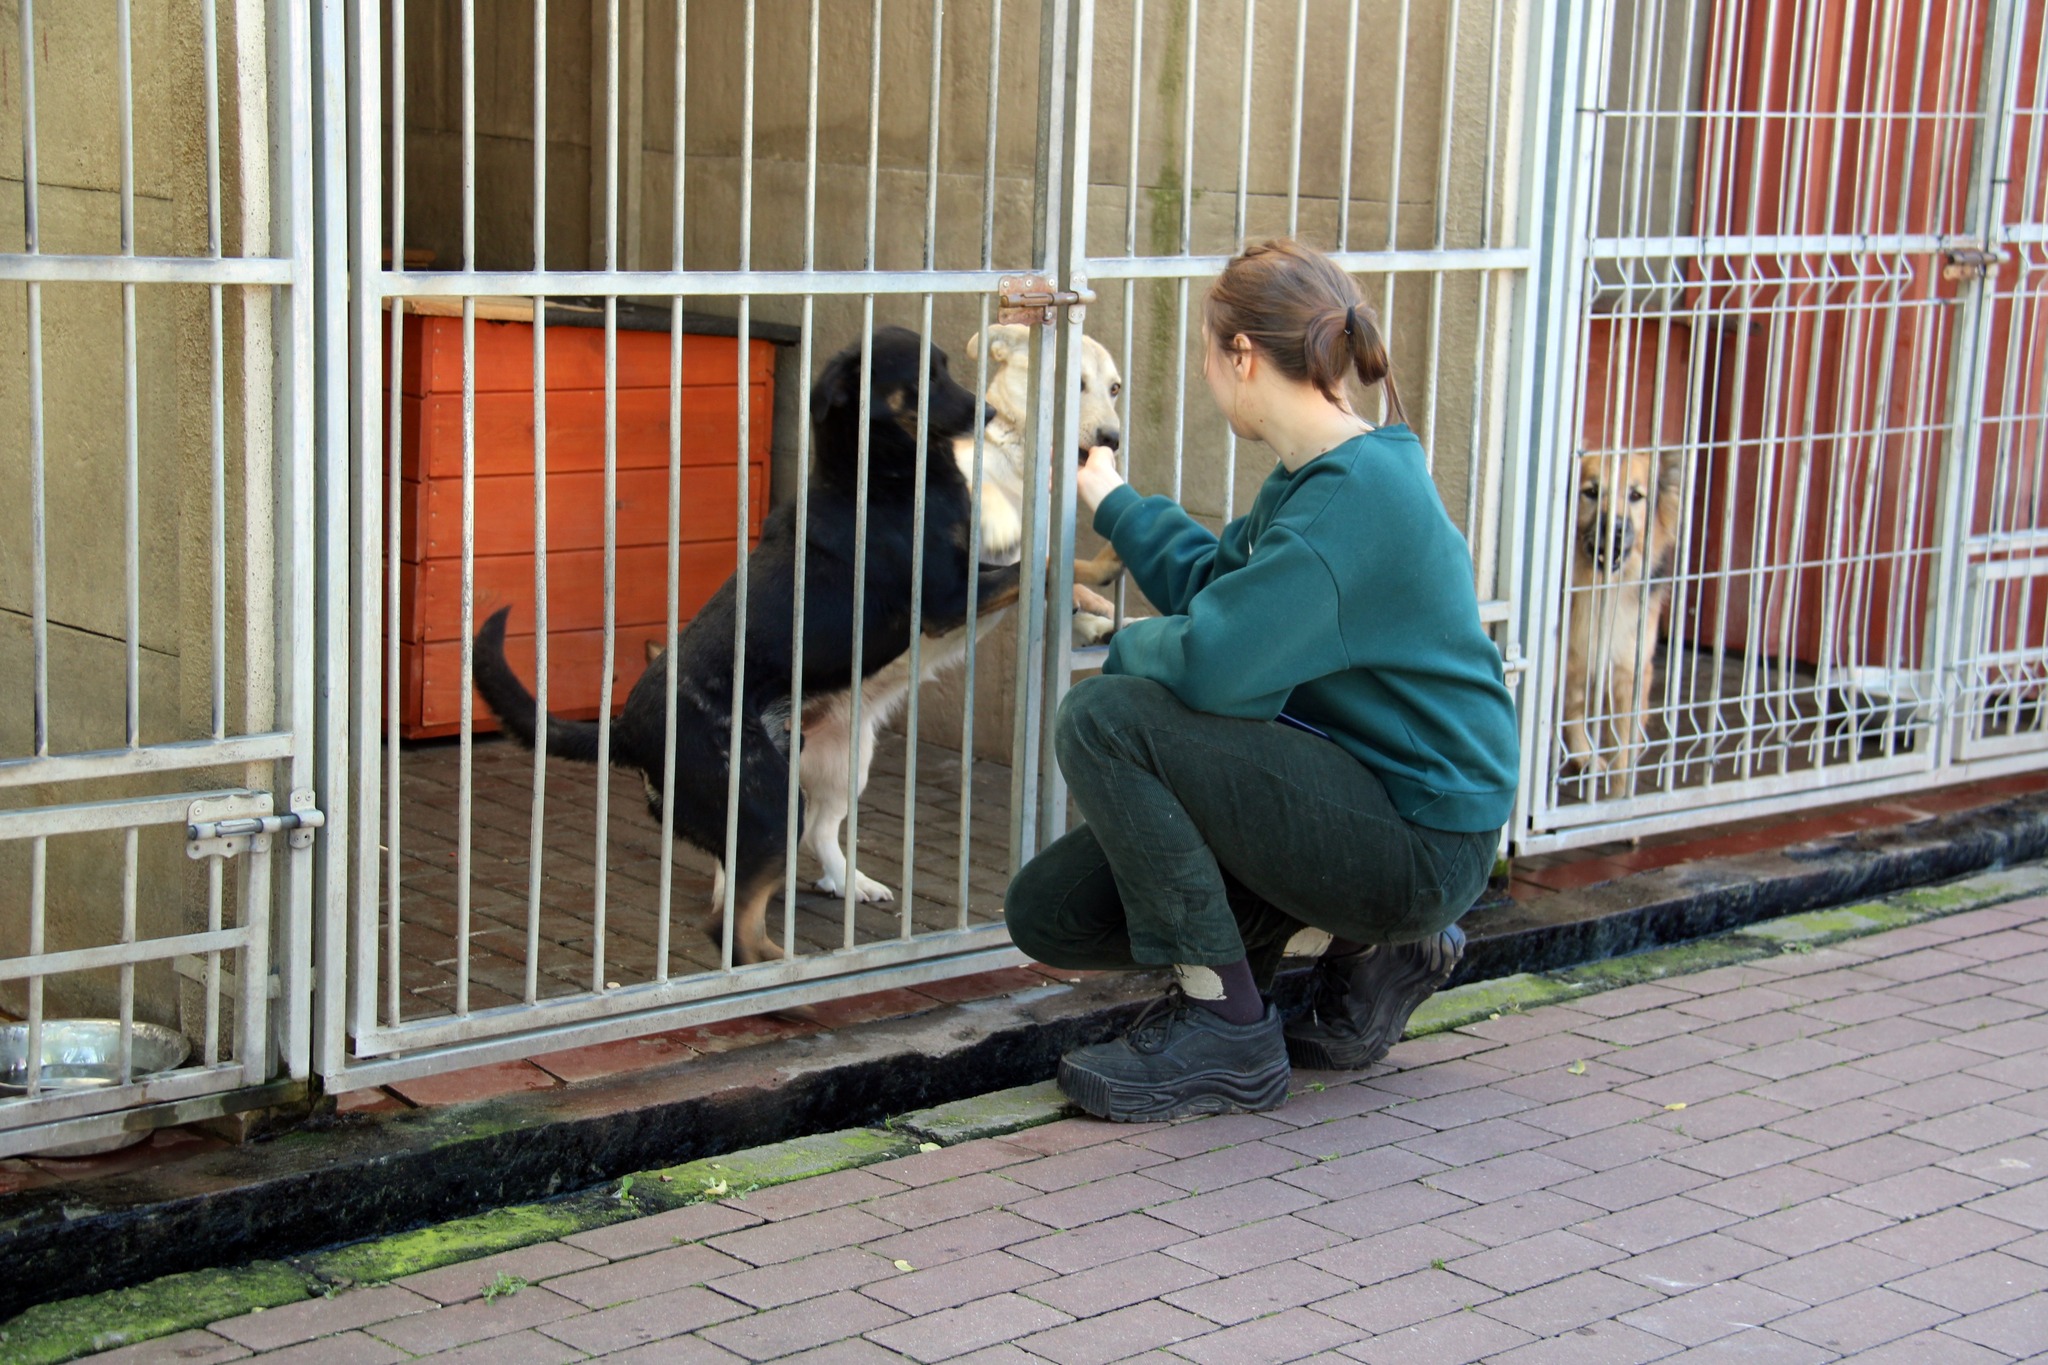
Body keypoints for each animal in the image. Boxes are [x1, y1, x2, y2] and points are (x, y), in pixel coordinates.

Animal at [473, 327, 1019, 964]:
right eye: (923, 378)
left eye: (947, 367)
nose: (987, 414)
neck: (875, 475)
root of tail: (627, 729)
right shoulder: (947, 603)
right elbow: (1035, 568)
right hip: (768, 807)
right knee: (732, 925)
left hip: (828, 768)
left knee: (797, 854)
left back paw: (843, 892)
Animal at [1561, 450, 1682, 798]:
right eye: (1591, 492)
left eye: (1636, 496)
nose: (1613, 528)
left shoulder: (1629, 668)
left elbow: (1625, 741)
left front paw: (1617, 793)